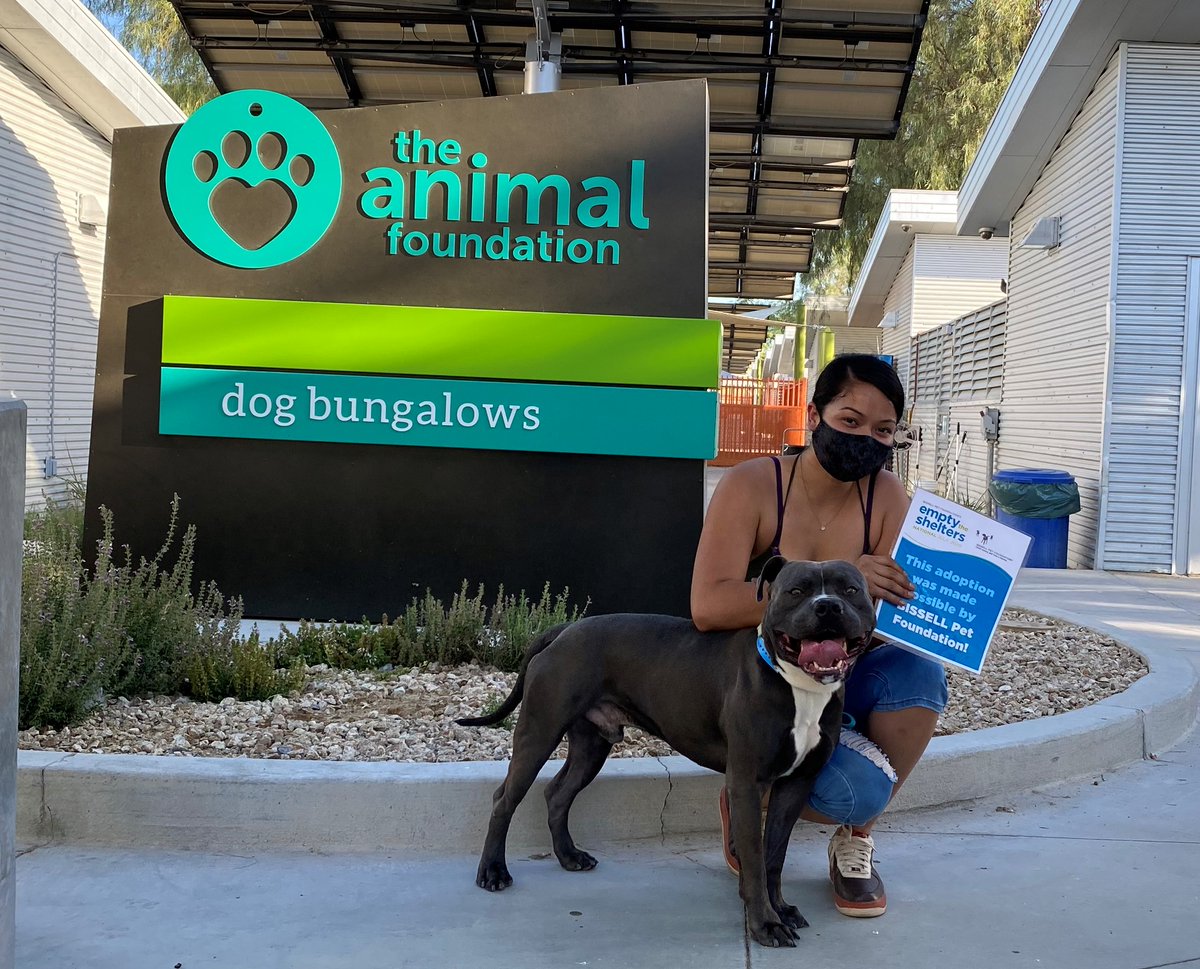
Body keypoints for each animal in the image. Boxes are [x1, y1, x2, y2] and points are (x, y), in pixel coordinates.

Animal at [453, 561, 878, 945]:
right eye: (796, 591)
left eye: (850, 590)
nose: (828, 607)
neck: (799, 687)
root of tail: (564, 629)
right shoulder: (747, 784)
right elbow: (756, 862)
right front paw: (765, 925)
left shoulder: (796, 785)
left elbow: (774, 856)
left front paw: (781, 909)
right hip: (539, 732)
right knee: (505, 798)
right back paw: (493, 872)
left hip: (592, 745)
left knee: (557, 793)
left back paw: (569, 855)